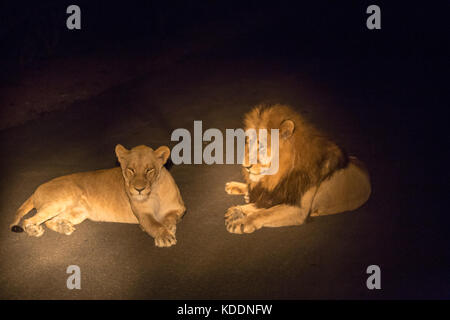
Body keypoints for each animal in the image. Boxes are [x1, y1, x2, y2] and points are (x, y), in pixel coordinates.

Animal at [11, 145, 186, 248]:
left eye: (149, 170)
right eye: (130, 170)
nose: (139, 189)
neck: (154, 193)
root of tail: (36, 189)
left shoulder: (179, 208)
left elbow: (169, 217)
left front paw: (169, 227)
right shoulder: (143, 214)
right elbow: (153, 224)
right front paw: (164, 236)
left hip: (78, 213)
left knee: (49, 221)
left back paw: (64, 227)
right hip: (61, 200)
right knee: (29, 220)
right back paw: (35, 231)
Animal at [224, 104, 370, 232]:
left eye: (262, 148)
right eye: (248, 144)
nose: (245, 166)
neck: (283, 173)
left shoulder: (298, 209)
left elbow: (265, 212)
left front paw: (240, 220)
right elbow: (263, 202)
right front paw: (238, 205)